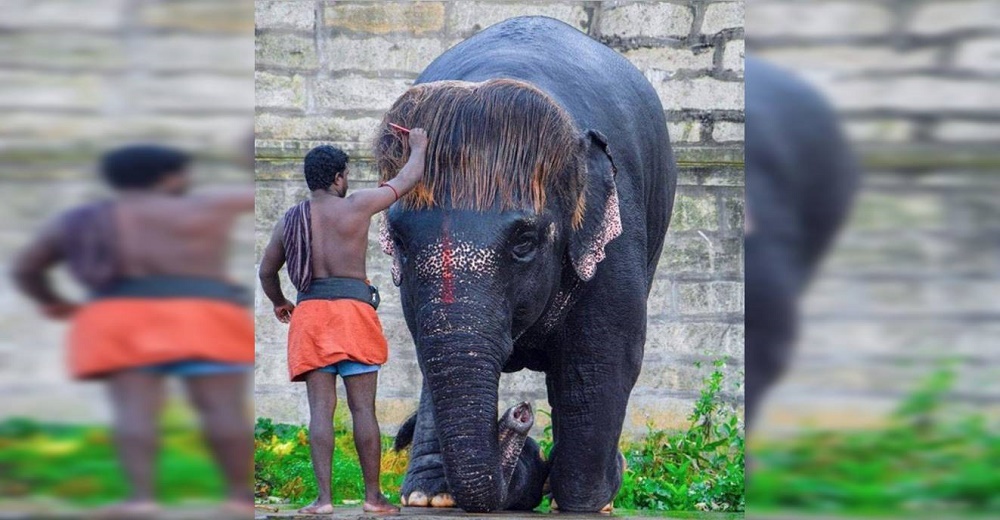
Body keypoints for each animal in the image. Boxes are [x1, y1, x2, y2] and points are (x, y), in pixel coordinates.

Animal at [376, 15, 680, 512]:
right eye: (399, 241)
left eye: (524, 241)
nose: (520, 413)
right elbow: (428, 350)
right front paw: (429, 497)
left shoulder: (617, 232)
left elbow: (601, 357)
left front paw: (582, 502)